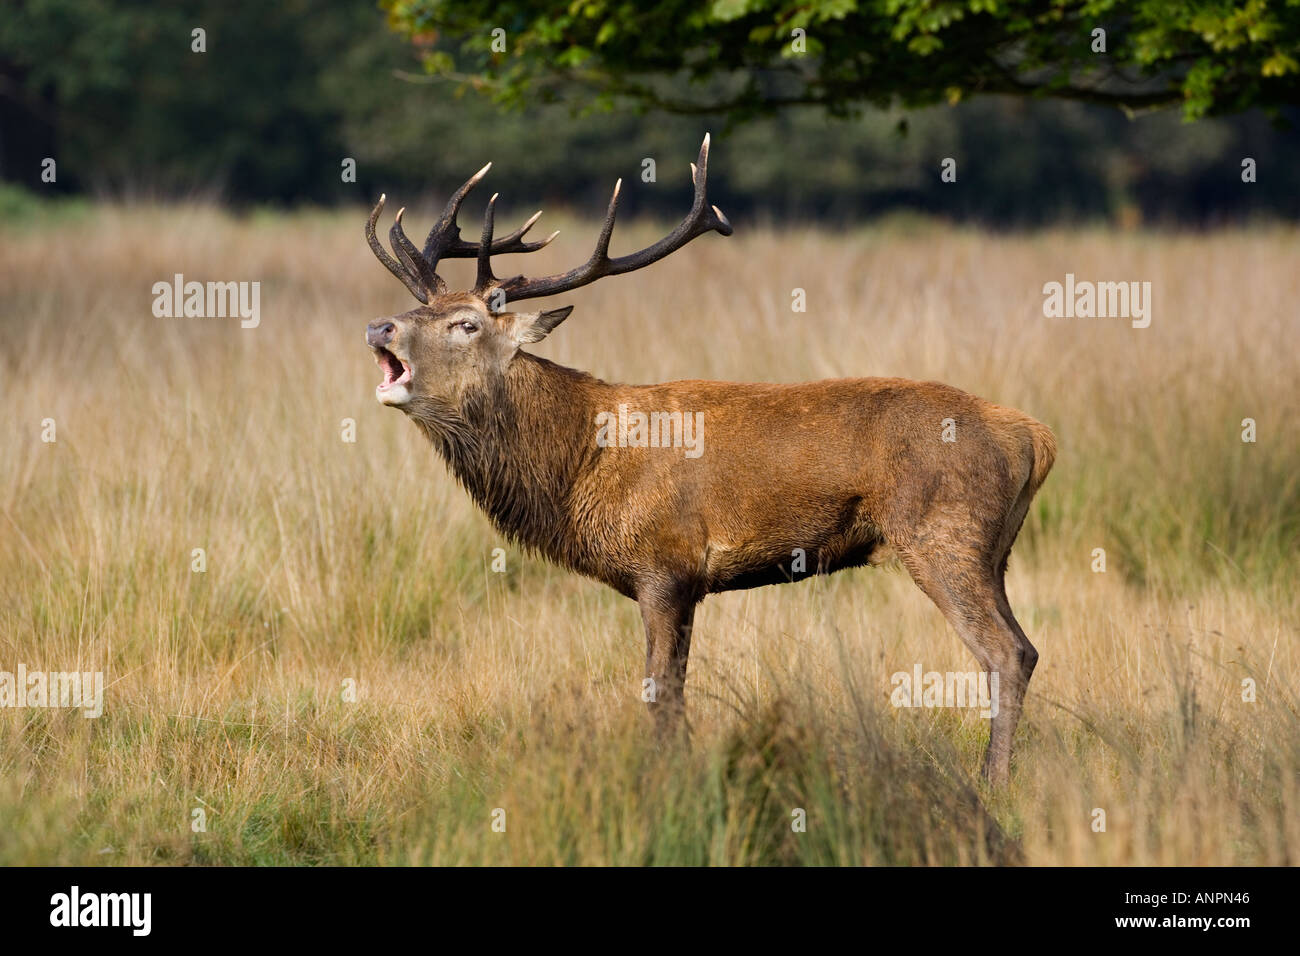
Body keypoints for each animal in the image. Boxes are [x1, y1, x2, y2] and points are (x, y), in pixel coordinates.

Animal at [362, 135, 1056, 784]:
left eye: (467, 324)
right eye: (421, 309)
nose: (378, 328)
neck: (580, 468)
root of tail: (1034, 436)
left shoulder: (665, 566)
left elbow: (662, 695)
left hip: (943, 534)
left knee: (1006, 652)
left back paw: (993, 785)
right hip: (993, 550)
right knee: (1023, 646)